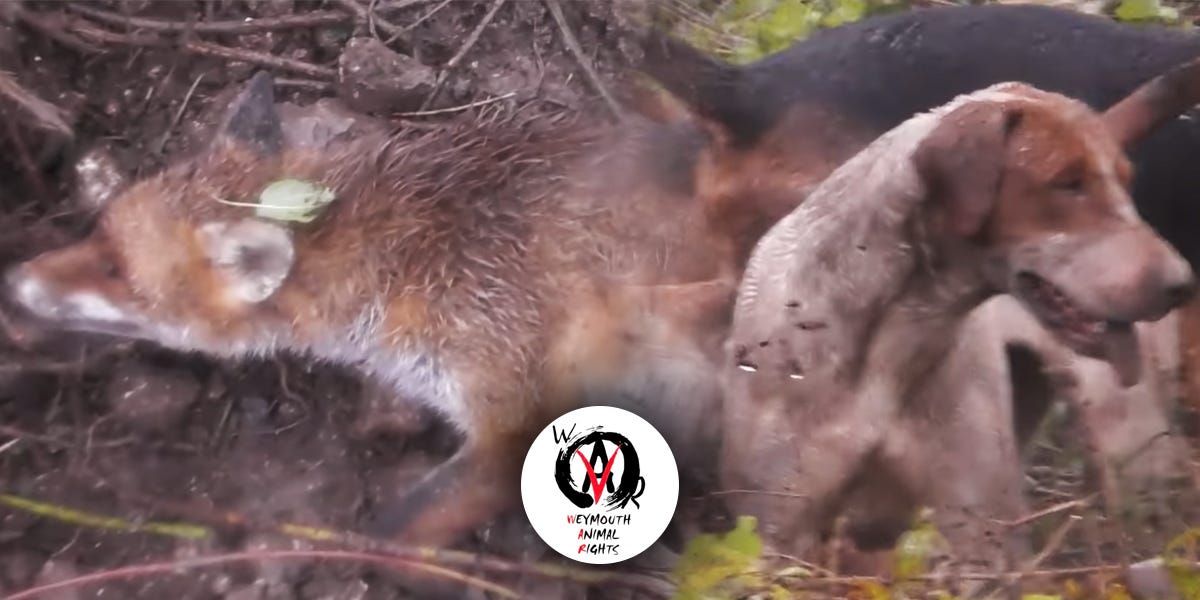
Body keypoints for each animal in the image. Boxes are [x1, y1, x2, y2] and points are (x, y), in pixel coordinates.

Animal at [3, 71, 740, 551]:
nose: (13, 280)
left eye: (117, 271)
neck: (412, 255)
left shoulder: (512, 418)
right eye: (96, 233)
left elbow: (387, 536)